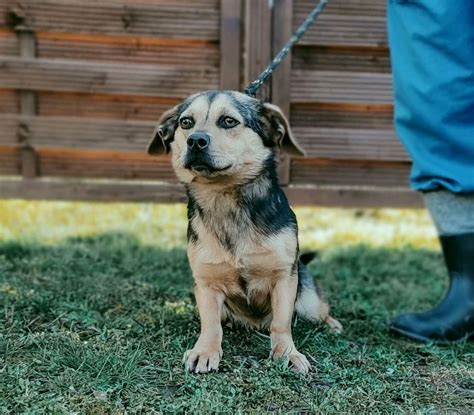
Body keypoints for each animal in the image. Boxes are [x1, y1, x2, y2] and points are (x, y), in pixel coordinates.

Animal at [148, 90, 340, 374]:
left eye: (229, 121)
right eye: (186, 123)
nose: (196, 141)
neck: (224, 199)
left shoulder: (284, 277)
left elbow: (281, 323)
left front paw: (287, 353)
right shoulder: (206, 283)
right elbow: (210, 324)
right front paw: (205, 351)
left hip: (309, 300)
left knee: (319, 311)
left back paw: (331, 323)